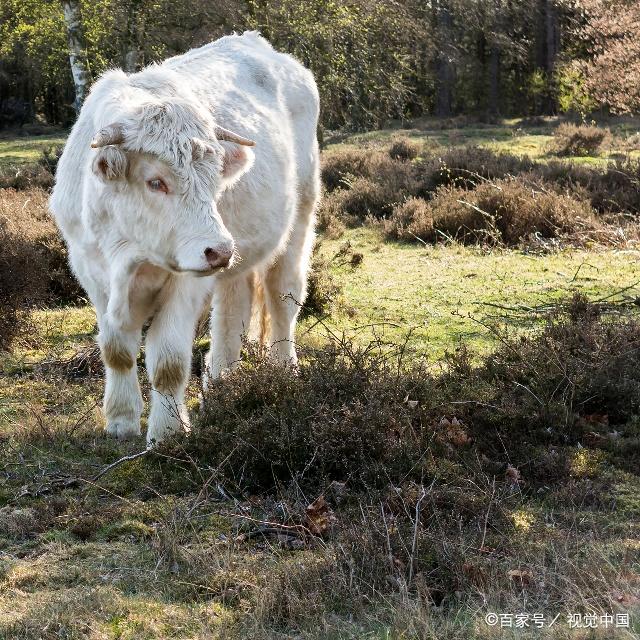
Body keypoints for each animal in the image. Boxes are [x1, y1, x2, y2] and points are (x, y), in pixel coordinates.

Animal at [49, 32, 320, 444]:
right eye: (155, 182)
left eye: (214, 179)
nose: (219, 250)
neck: (130, 253)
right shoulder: (91, 272)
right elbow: (116, 350)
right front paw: (121, 421)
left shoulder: (186, 281)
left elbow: (169, 362)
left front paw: (169, 433)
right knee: (232, 309)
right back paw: (222, 385)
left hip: (299, 218)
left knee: (282, 297)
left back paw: (284, 370)